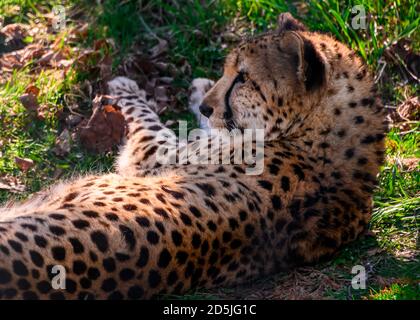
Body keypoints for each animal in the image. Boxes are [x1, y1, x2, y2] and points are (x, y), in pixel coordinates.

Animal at [0, 13, 388, 300]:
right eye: (230, 71)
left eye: (243, 78)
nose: (207, 106)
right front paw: (200, 91)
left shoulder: (154, 156)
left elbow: (150, 122)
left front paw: (126, 86)